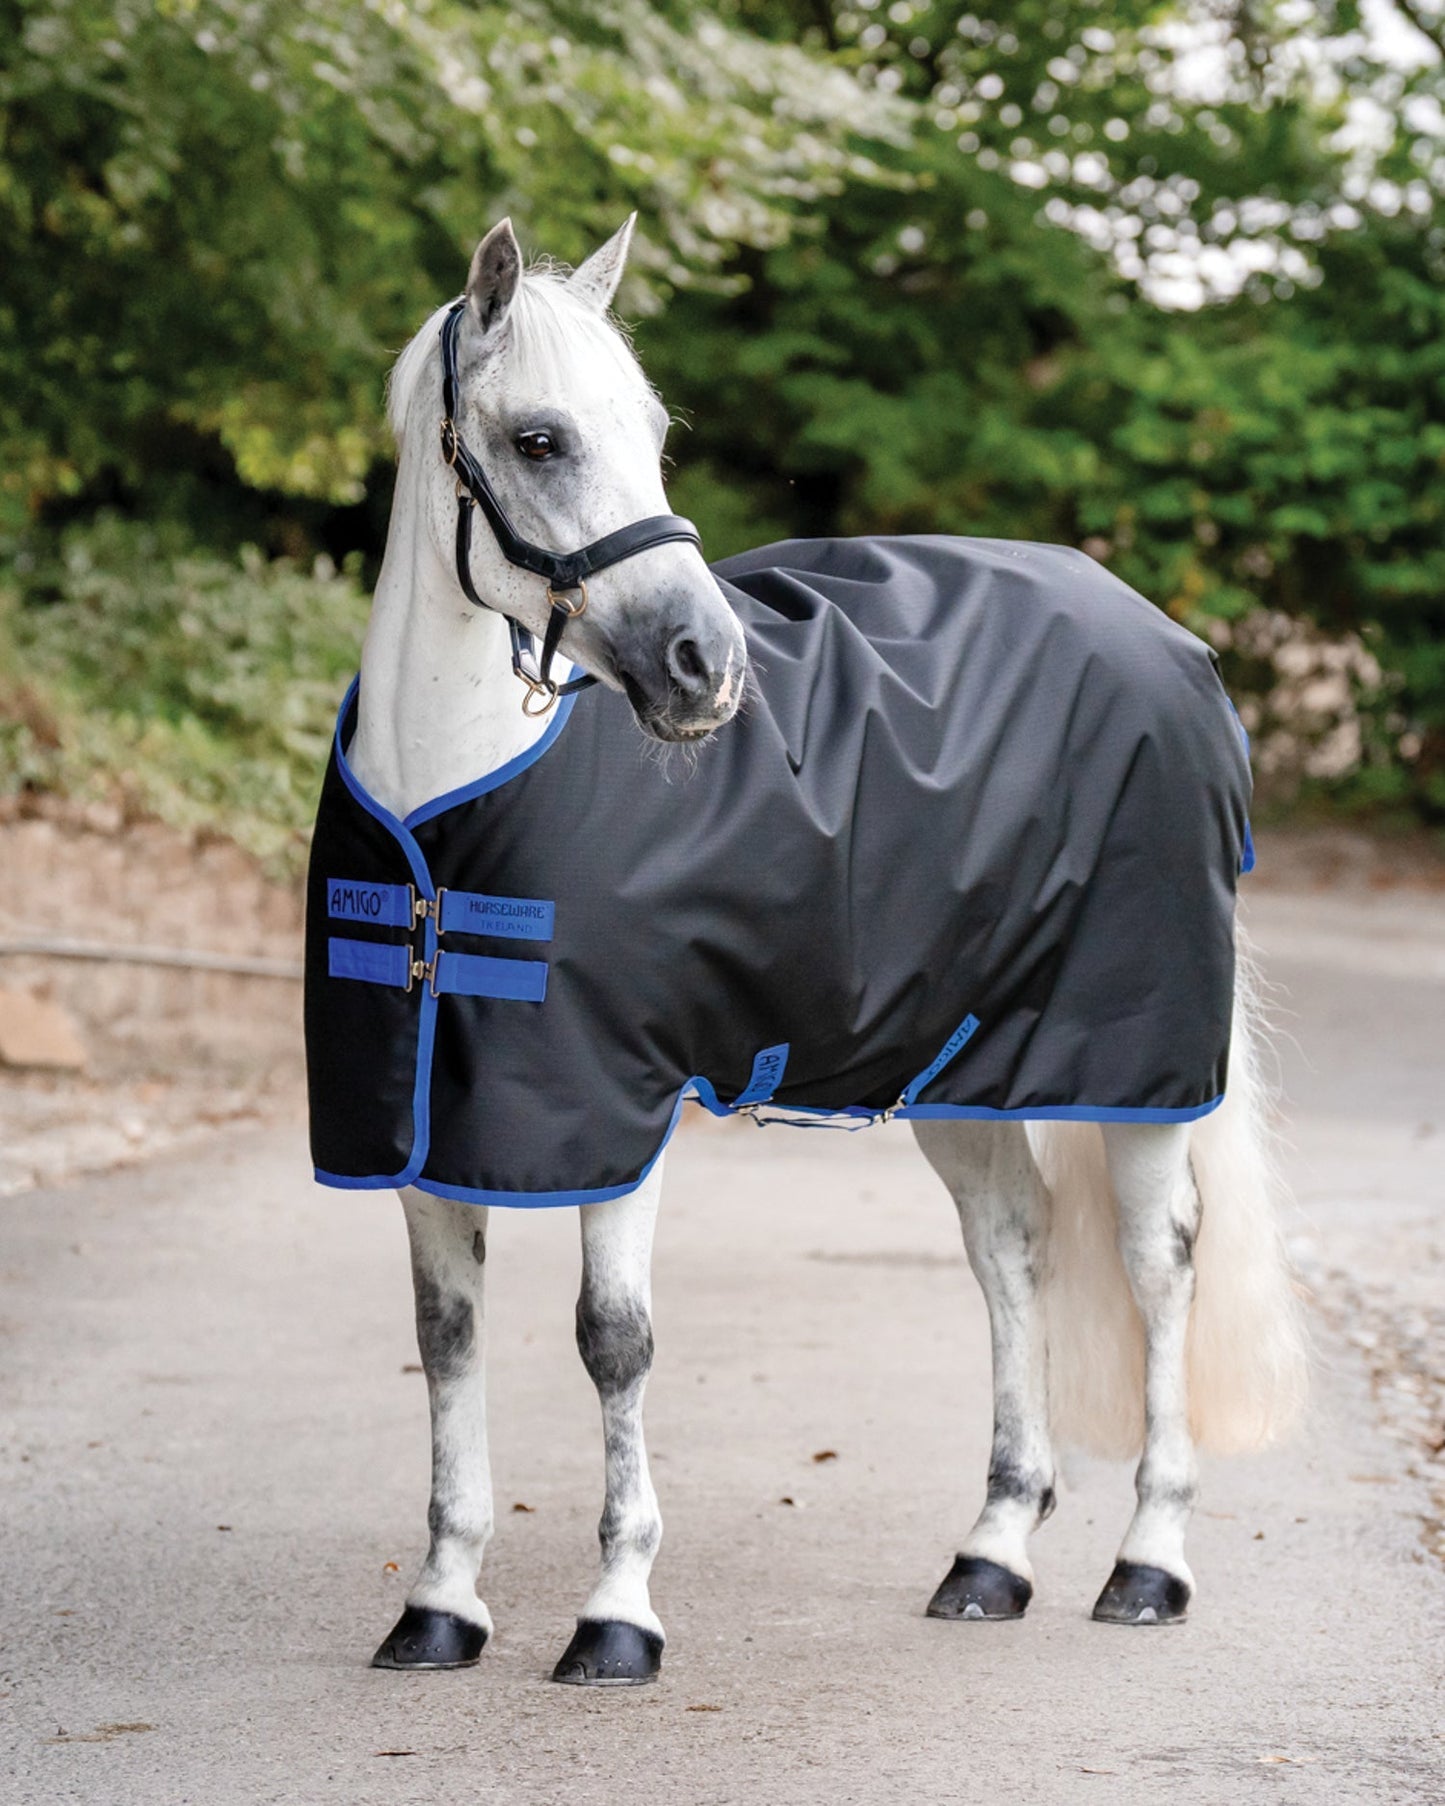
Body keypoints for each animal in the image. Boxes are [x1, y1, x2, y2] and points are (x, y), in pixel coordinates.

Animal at [306, 215, 1308, 1686]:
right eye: (540, 438)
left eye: (654, 430)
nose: (704, 665)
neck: (450, 810)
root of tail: (1171, 644)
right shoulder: (428, 1125)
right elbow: (447, 1342)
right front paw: (439, 1604)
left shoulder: (622, 1110)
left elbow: (612, 1341)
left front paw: (617, 1614)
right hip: (962, 1068)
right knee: (1010, 1247)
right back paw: (990, 1555)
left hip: (1136, 1066)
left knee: (1156, 1261)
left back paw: (1147, 1562)